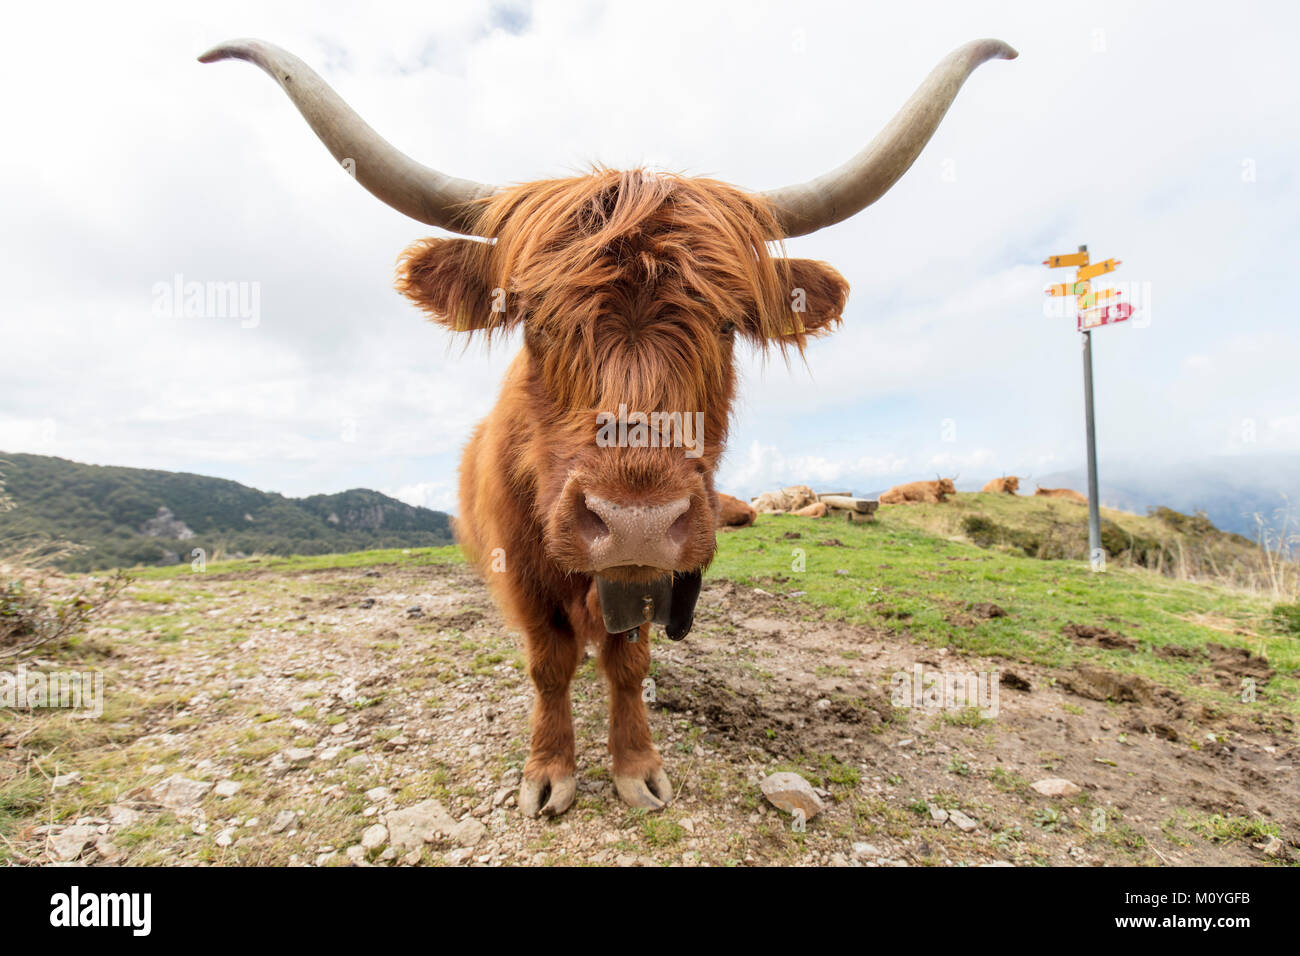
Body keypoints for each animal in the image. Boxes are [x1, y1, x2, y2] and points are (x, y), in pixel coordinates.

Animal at [202, 37, 1013, 816]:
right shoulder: (525, 578)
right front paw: (549, 771)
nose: (635, 524)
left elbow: (629, 663)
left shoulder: (654, 581)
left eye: (728, 323)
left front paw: (636, 766)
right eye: (534, 318)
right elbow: (548, 664)